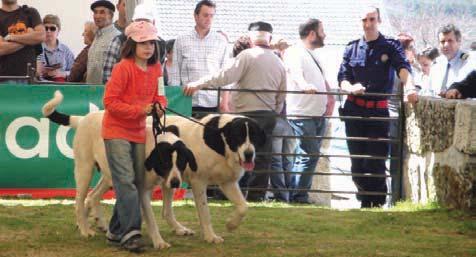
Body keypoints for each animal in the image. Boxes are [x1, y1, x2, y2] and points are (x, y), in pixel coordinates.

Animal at [41, 90, 196, 248]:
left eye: (181, 163)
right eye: (165, 163)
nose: (176, 183)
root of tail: (82, 119)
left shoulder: (168, 182)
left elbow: (167, 211)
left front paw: (179, 229)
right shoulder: (143, 190)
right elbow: (150, 218)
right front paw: (158, 241)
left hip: (108, 175)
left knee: (93, 196)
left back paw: (98, 225)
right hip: (85, 170)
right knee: (79, 201)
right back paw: (85, 230)